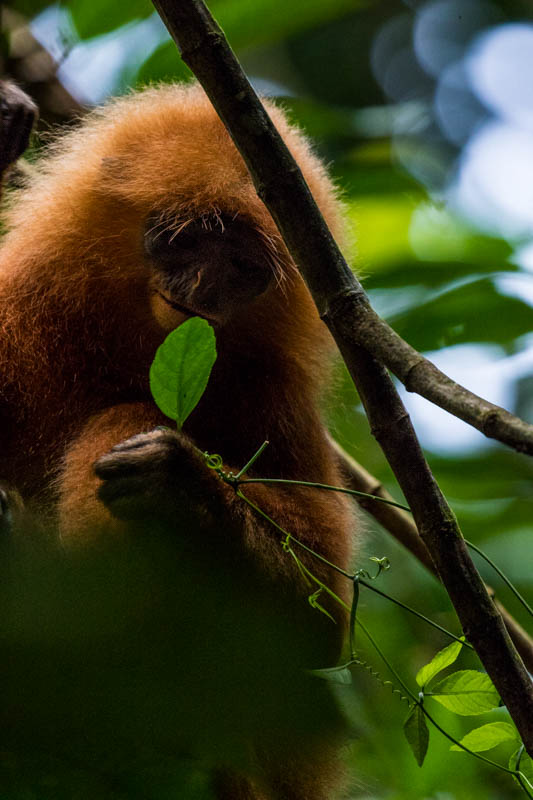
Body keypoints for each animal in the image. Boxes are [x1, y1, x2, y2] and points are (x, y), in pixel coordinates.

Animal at [1, 83, 358, 800]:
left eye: (243, 265)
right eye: (186, 239)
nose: (202, 290)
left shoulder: (270, 386)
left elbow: (319, 629)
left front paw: (190, 489)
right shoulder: (18, 311)